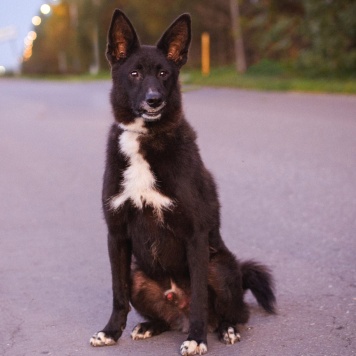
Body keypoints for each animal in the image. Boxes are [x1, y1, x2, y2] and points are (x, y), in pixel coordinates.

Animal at [89, 9, 276, 354]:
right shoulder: (116, 233)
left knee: (235, 312)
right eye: (134, 74)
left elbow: (201, 297)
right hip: (138, 274)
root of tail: (179, 310)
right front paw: (110, 332)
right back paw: (150, 325)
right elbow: (117, 293)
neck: (146, 139)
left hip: (220, 267)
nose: (154, 100)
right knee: (158, 313)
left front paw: (197, 339)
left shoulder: (196, 234)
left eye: (164, 73)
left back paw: (225, 329)